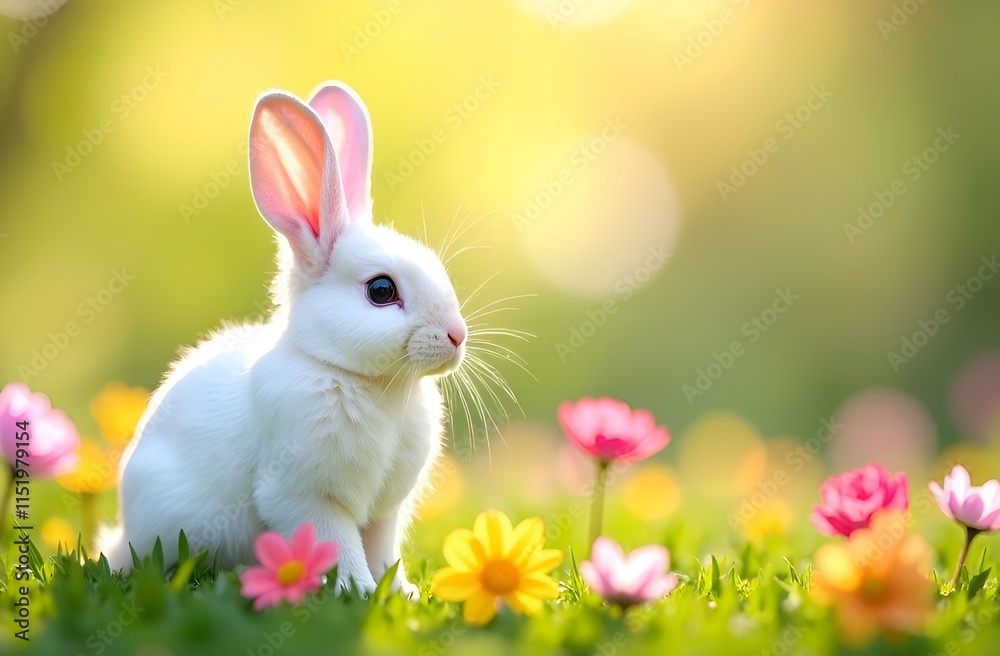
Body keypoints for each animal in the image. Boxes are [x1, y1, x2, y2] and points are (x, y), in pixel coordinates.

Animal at [99, 81, 468, 598]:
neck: (369, 383)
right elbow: (339, 546)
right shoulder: (307, 497)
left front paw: (401, 593)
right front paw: (358, 593)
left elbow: (381, 551)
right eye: (381, 290)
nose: (458, 335)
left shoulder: (384, 511)